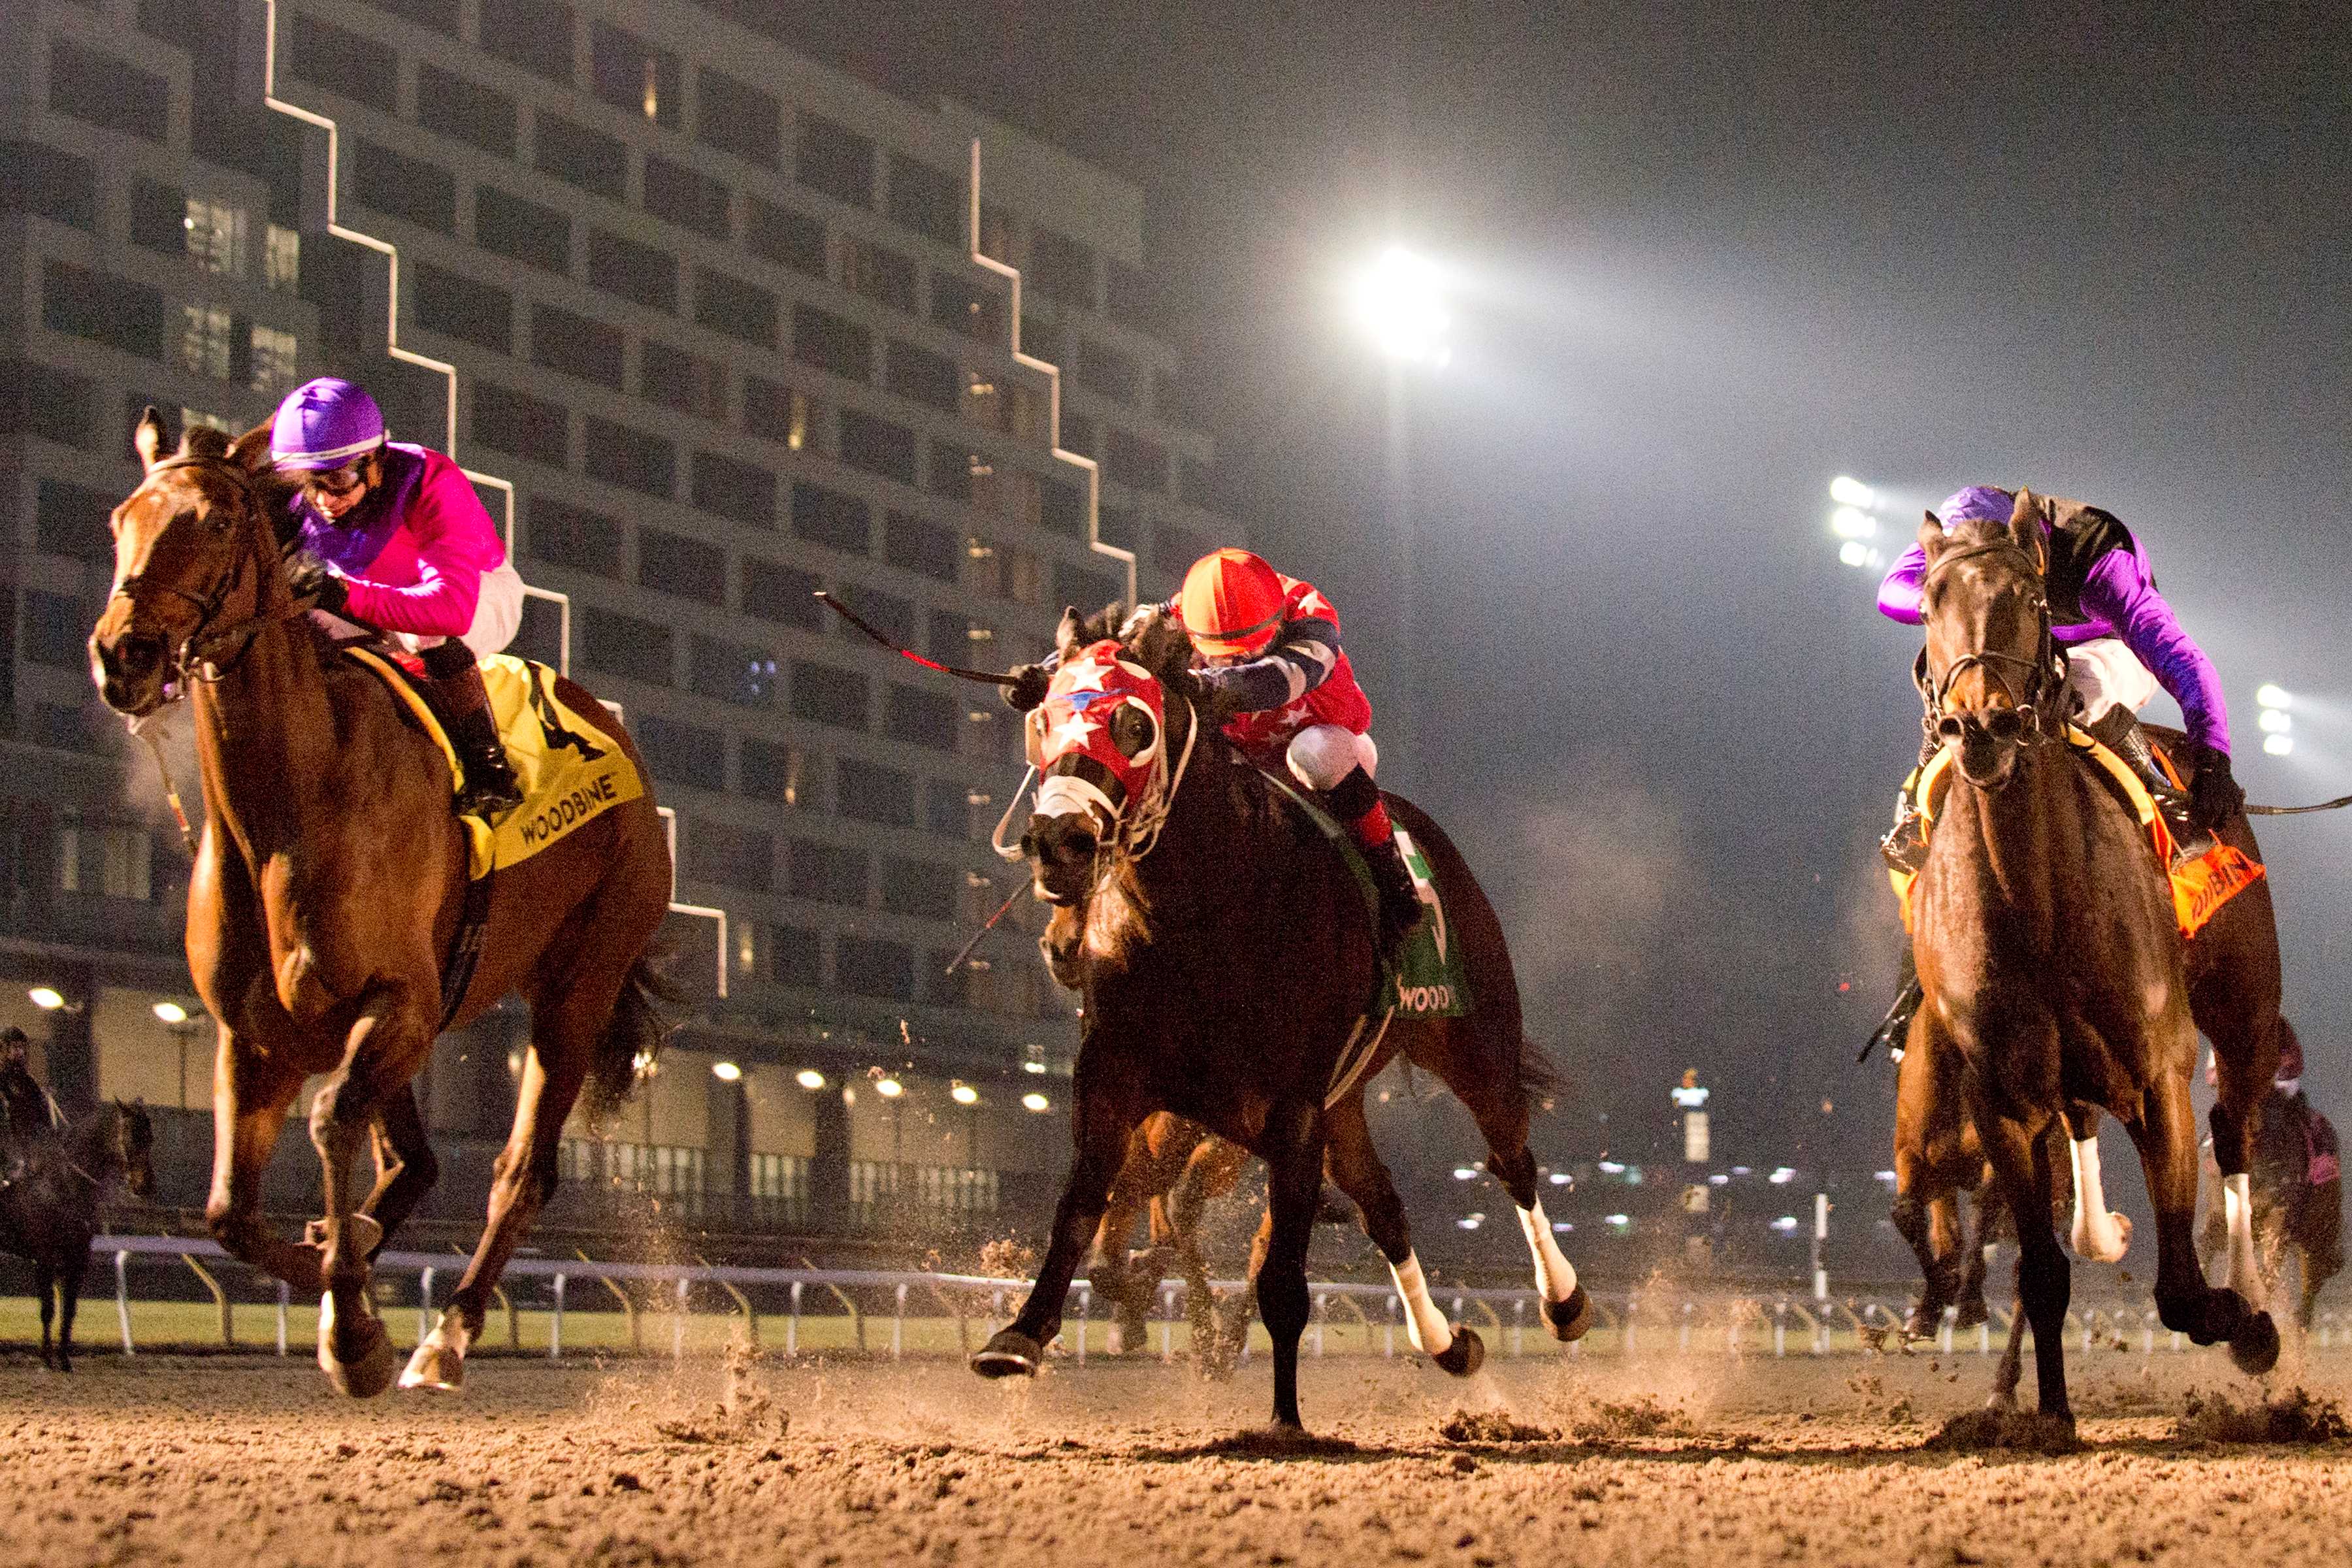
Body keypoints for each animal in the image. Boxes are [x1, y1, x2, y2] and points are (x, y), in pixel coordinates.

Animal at [0, 1105, 152, 1373]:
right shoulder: (45, 1259)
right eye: (132, 1136)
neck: (61, 1189)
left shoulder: (77, 1258)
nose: (145, 1185)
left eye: (150, 1138)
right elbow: (48, 1309)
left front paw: (64, 1359)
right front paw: (46, 1359)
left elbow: (69, 1309)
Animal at [85, 416, 672, 1401]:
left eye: (214, 521)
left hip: (578, 984)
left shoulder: (398, 1001)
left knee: (520, 1171)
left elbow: (329, 1126)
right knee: (416, 1161)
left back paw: (449, 1336)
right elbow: (228, 1213)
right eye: (120, 520)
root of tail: (613, 736)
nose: (122, 654)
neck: (290, 802)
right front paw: (340, 1272)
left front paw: (357, 1330)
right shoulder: (258, 1035)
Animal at [964, 606, 1590, 1439]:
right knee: (1385, 1208)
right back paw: (1448, 1343)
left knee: (1512, 1162)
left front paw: (1284, 1418)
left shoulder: (1290, 1110)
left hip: (1475, 1043)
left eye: (1134, 724)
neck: (1205, 907)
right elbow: (1082, 1208)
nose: (1058, 843)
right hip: (1345, 1101)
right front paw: (1020, 1334)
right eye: (1042, 722)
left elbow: (1282, 1283)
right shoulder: (1119, 1077)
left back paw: (1564, 1302)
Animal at [1910, 496, 2276, 1429]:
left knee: (2235, 1129)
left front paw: (2240, 1320)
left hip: (2246, 1013)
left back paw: (2256, 1309)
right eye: (1930, 602)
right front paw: (2049, 1415)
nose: (1983, 724)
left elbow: (2182, 1290)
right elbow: (2041, 1272)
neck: (2035, 897)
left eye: (2032, 600)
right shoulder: (2000, 1099)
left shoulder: (2158, 1072)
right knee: (2078, 1132)